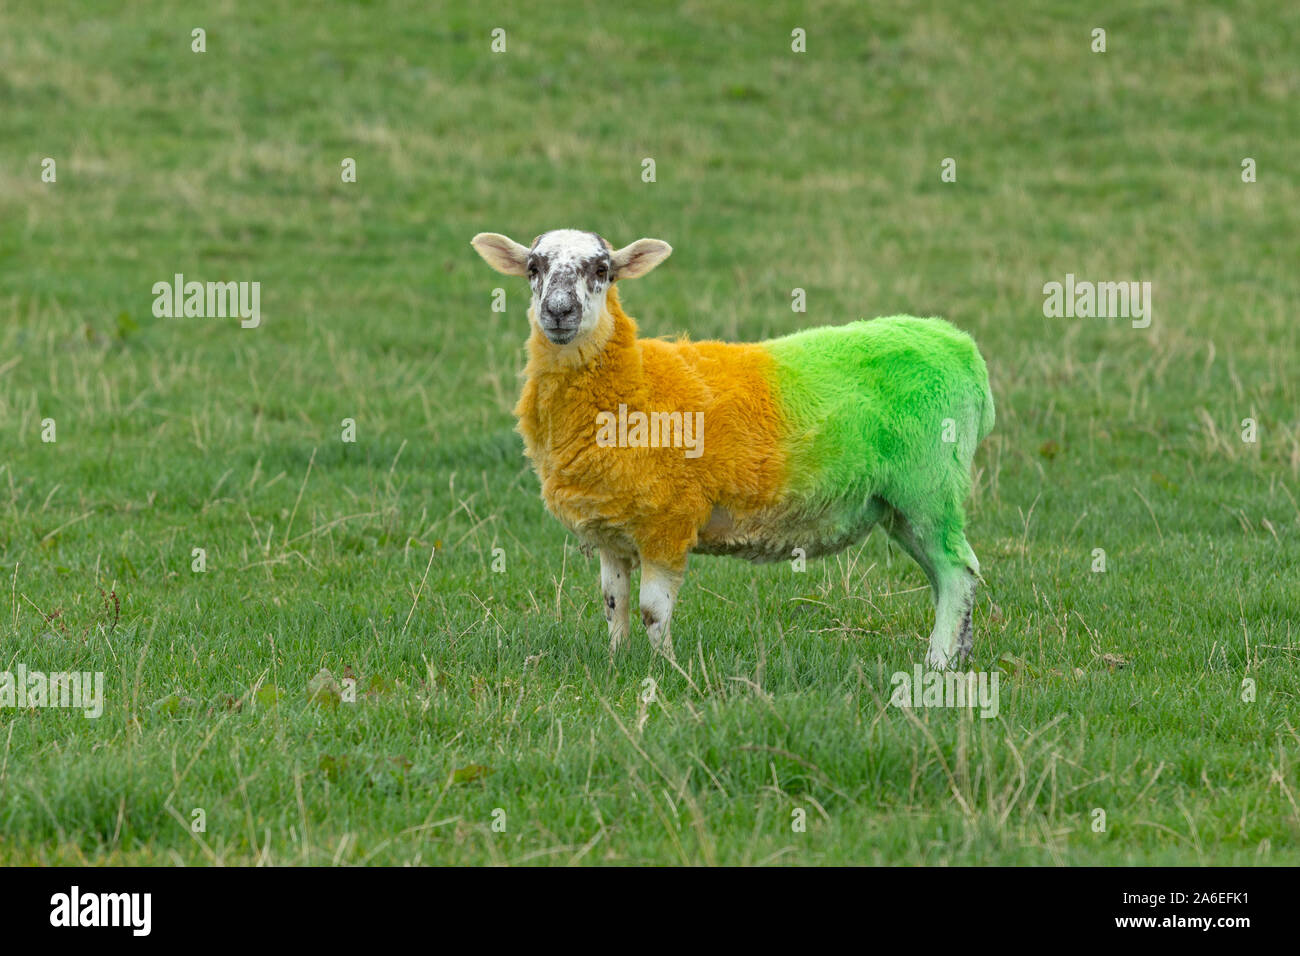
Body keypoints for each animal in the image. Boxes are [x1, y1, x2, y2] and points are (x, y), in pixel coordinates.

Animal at [473, 227, 987, 671]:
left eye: (602, 269)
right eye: (534, 267)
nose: (559, 312)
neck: (634, 381)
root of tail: (958, 345)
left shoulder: (668, 519)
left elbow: (652, 611)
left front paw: (667, 671)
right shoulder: (612, 531)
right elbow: (613, 604)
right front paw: (616, 661)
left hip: (928, 485)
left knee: (956, 570)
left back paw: (937, 662)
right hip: (899, 504)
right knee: (947, 575)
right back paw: (958, 654)